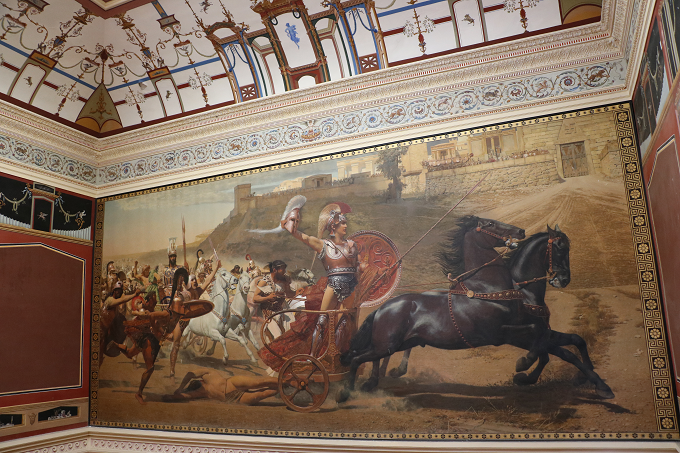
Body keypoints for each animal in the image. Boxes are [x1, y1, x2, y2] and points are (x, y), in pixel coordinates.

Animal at [339, 226, 614, 402]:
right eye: (560, 247)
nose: (564, 279)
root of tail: (383, 307)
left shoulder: (536, 332)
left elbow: (572, 342)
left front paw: (592, 381)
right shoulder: (509, 334)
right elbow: (555, 351)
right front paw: (523, 367)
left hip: (397, 343)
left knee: (369, 357)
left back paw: (373, 381)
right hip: (387, 344)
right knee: (356, 358)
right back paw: (347, 392)